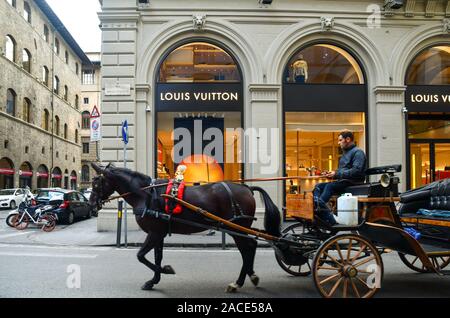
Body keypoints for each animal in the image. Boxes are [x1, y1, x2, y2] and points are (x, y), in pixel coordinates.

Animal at [89, 164, 282, 294]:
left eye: (97, 183)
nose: (90, 204)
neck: (146, 195)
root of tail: (246, 187)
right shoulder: (158, 233)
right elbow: (157, 257)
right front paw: (154, 280)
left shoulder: (154, 233)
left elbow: (141, 256)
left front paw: (165, 270)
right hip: (238, 228)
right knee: (249, 248)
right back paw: (250, 276)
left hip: (236, 227)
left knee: (248, 248)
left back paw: (240, 281)